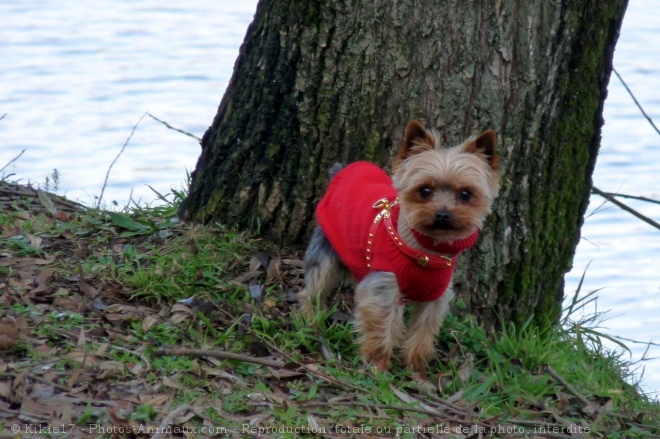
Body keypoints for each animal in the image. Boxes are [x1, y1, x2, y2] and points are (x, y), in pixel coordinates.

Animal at [300, 119, 500, 372]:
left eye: (466, 194)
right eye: (425, 191)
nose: (443, 215)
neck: (427, 253)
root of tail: (340, 172)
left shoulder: (436, 296)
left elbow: (424, 330)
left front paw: (416, 367)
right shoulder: (383, 285)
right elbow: (380, 326)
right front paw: (377, 366)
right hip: (324, 247)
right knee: (314, 286)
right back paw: (310, 321)